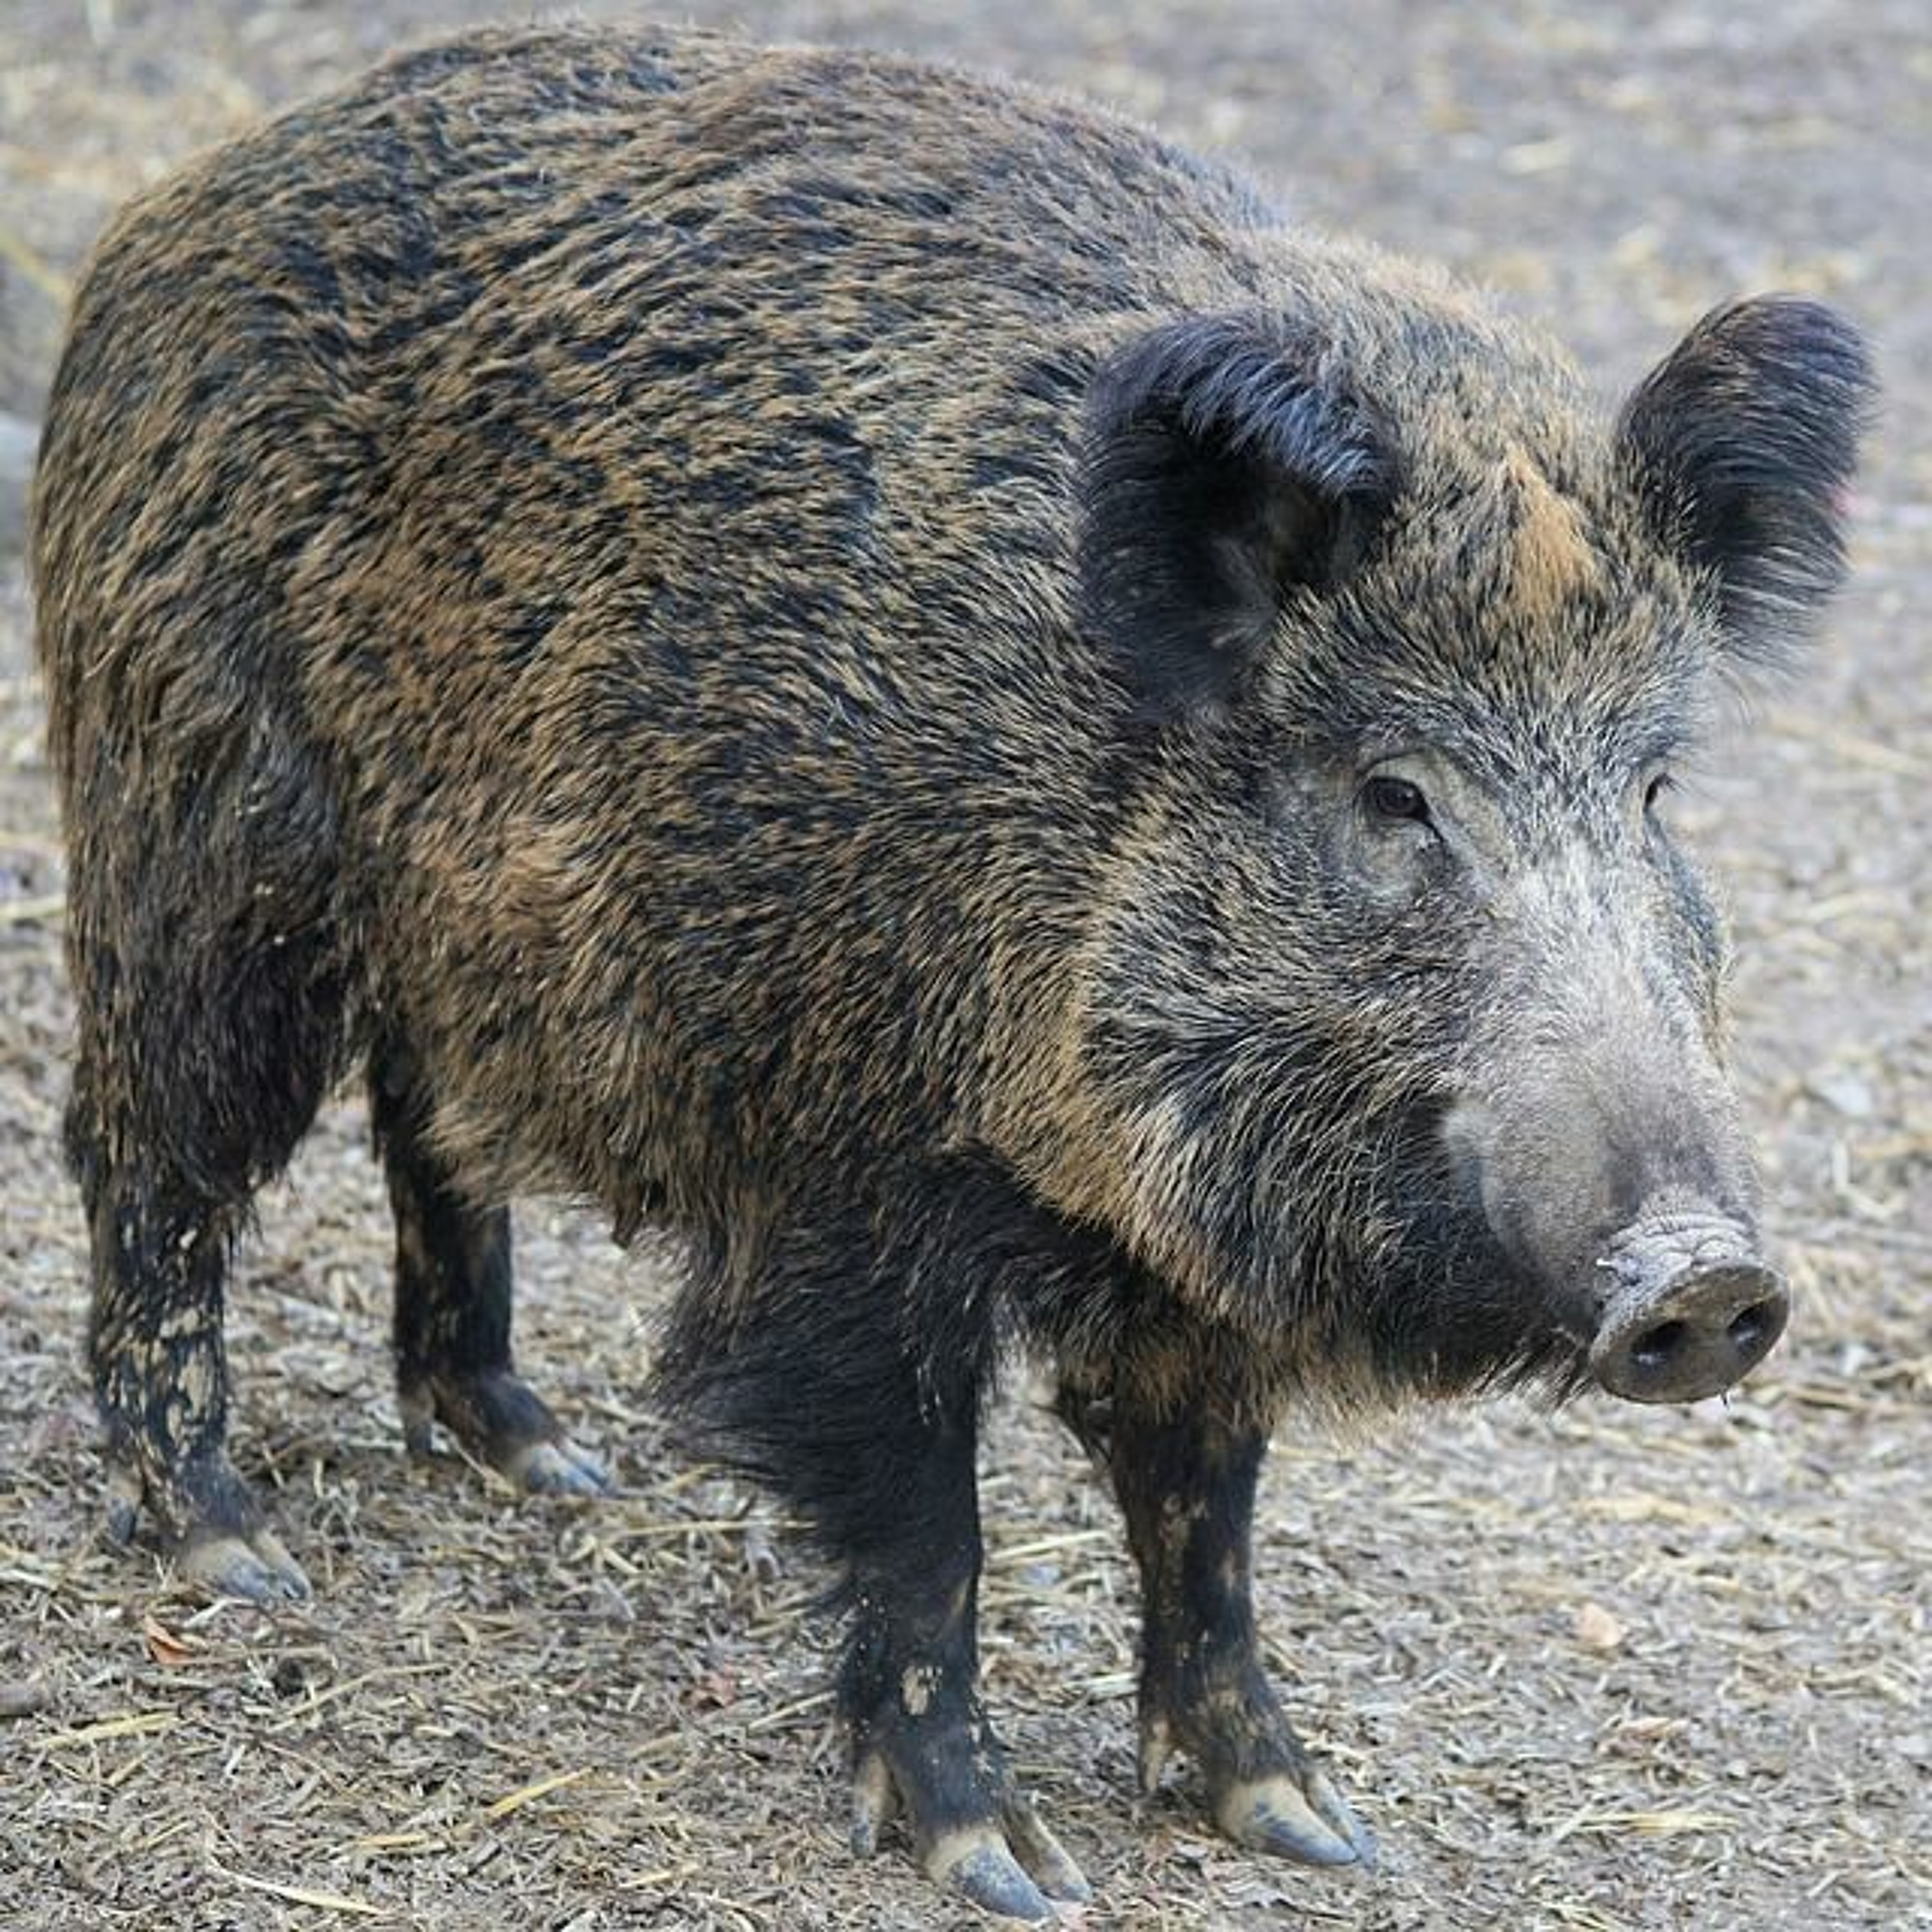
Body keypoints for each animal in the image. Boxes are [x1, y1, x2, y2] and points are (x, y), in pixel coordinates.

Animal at [31, 25, 1871, 1921]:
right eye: (1393, 793)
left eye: (1653, 791)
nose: (1709, 1279)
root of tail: (177, 209)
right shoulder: (837, 1185)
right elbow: (930, 1528)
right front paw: (1002, 1863)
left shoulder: (1181, 1276)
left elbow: (1206, 1512)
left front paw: (1304, 1821)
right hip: (195, 835)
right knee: (147, 1158)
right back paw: (233, 1551)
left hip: (453, 926)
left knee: (430, 1129)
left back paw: (550, 1465)